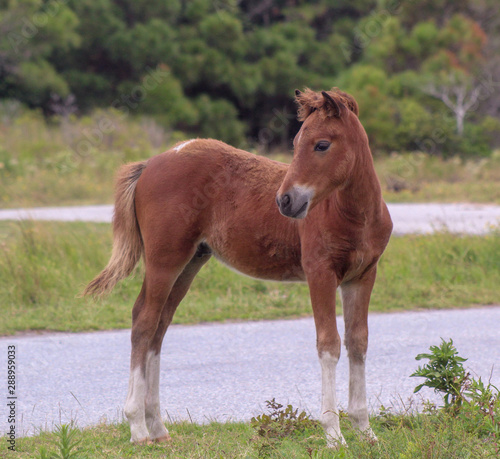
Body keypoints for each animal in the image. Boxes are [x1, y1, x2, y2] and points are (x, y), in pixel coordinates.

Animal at [84, 88, 392, 448]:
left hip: (190, 262)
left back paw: (158, 427)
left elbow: (358, 343)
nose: (285, 201)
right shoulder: (320, 273)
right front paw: (333, 435)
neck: (354, 214)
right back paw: (137, 427)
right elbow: (328, 344)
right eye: (296, 142)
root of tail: (150, 164)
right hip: (165, 259)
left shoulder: (363, 276)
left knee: (159, 327)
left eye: (322, 144)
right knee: (144, 321)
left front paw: (366, 431)